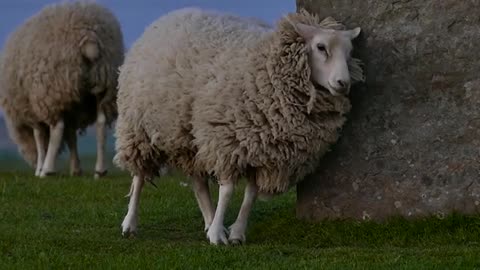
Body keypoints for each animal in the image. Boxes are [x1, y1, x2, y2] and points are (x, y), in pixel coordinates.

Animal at [0, 1, 125, 178]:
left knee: (57, 128)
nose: (33, 163)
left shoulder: (33, 111)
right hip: (104, 82)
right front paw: (76, 169)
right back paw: (100, 171)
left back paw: (47, 170)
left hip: (53, 87)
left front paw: (39, 168)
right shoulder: (72, 106)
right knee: (101, 124)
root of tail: (89, 37)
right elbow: (71, 135)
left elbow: (40, 138)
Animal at [115, 7, 364, 245]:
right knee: (139, 176)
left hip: (188, 136)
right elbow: (227, 191)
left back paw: (208, 220)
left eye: (349, 52)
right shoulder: (226, 140)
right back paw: (130, 224)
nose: (343, 83)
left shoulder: (263, 151)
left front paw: (236, 232)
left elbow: (250, 195)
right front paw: (218, 235)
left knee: (198, 183)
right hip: (138, 129)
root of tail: (168, 17)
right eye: (321, 47)